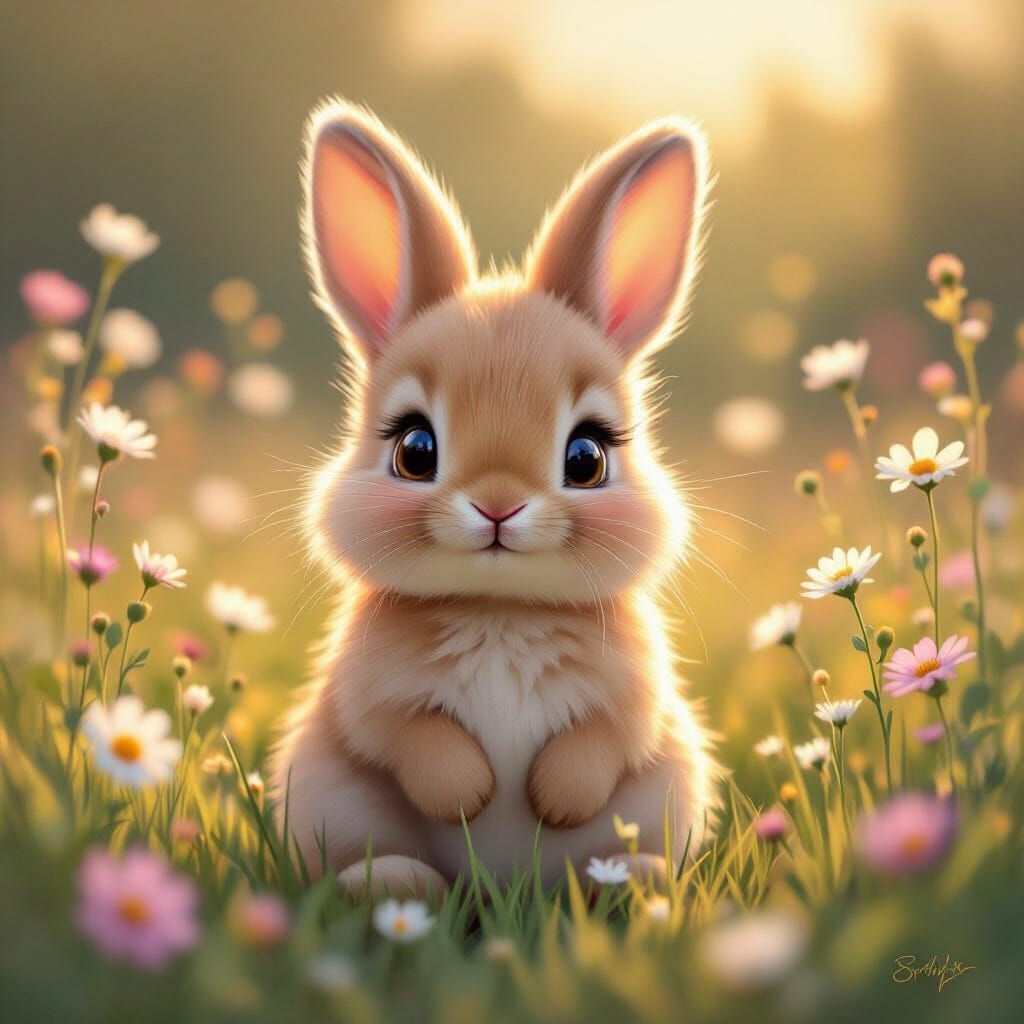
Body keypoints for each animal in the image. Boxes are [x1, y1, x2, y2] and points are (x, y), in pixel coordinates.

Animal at [271, 98, 719, 898]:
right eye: (414, 450)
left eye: (587, 457)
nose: (499, 508)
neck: (499, 610)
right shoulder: (370, 699)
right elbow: (409, 738)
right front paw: (471, 795)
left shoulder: (634, 699)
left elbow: (604, 740)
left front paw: (554, 801)